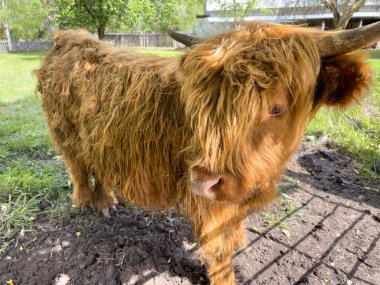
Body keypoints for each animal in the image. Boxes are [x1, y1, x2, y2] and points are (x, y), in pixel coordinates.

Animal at [35, 22, 378, 284]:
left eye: (277, 107)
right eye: (202, 106)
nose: (204, 181)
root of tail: (70, 38)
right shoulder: (208, 202)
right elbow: (219, 247)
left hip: (100, 138)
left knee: (98, 164)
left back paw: (107, 202)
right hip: (64, 131)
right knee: (77, 167)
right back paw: (86, 203)